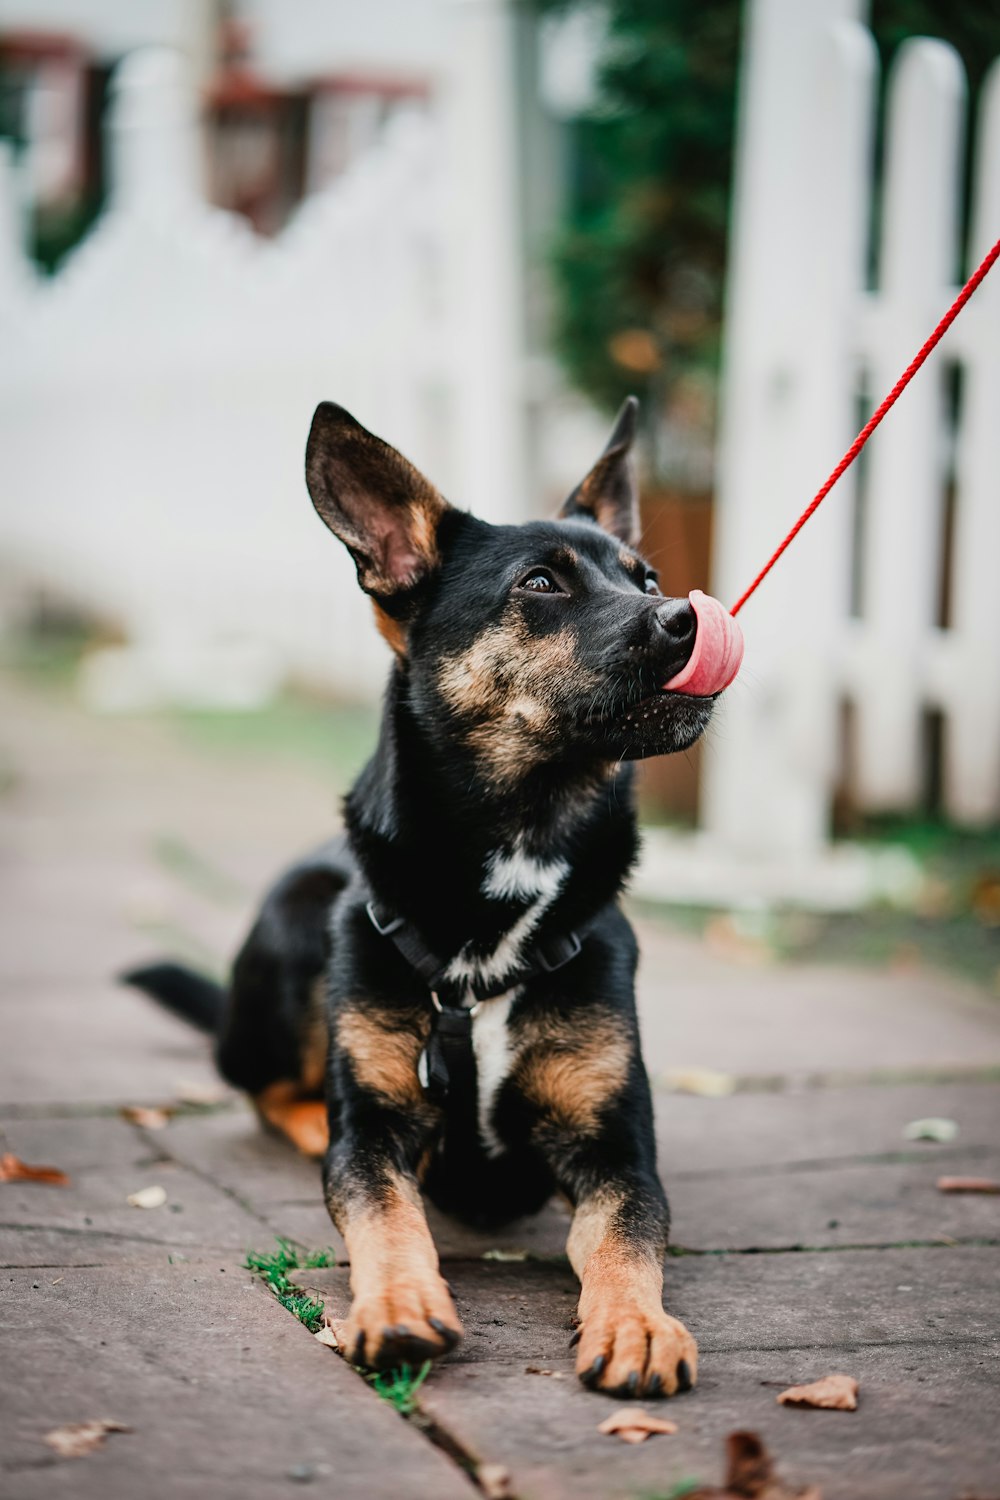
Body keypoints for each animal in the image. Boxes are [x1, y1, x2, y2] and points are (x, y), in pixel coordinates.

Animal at [127, 393, 719, 1398]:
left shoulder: (616, 1150)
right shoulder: (373, 1135)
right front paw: (399, 1302)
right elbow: (382, 1210)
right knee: (261, 1087)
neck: (518, 847)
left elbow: (627, 1238)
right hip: (301, 925)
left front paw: (638, 1325)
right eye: (540, 584)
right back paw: (300, 1117)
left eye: (645, 575)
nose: (689, 617)